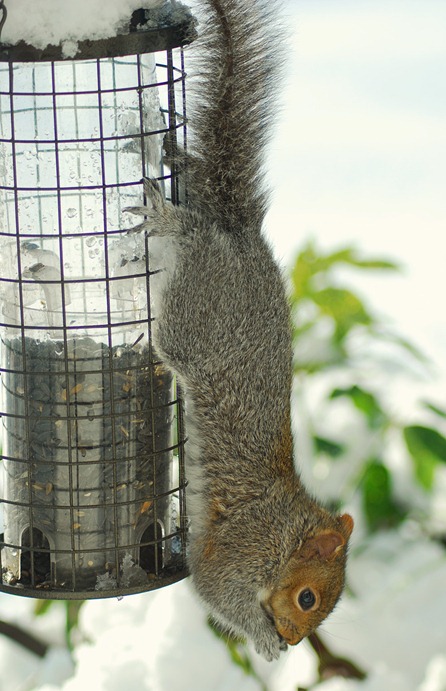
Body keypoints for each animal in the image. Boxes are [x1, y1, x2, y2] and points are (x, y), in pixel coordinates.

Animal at [126, 0, 354, 661]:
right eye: (307, 598)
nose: (296, 642)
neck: (286, 528)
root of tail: (239, 235)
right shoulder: (242, 549)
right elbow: (217, 591)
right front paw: (263, 639)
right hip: (198, 318)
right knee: (189, 255)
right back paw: (171, 219)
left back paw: (180, 164)